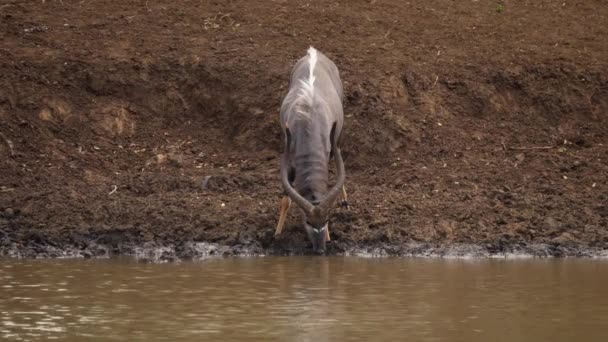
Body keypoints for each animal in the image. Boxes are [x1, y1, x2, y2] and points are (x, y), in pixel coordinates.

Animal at [274, 46, 346, 252]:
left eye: (327, 220)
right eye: (308, 221)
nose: (320, 249)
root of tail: (313, 53)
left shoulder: (328, 151)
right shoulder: (290, 161)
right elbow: (285, 200)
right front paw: (277, 234)